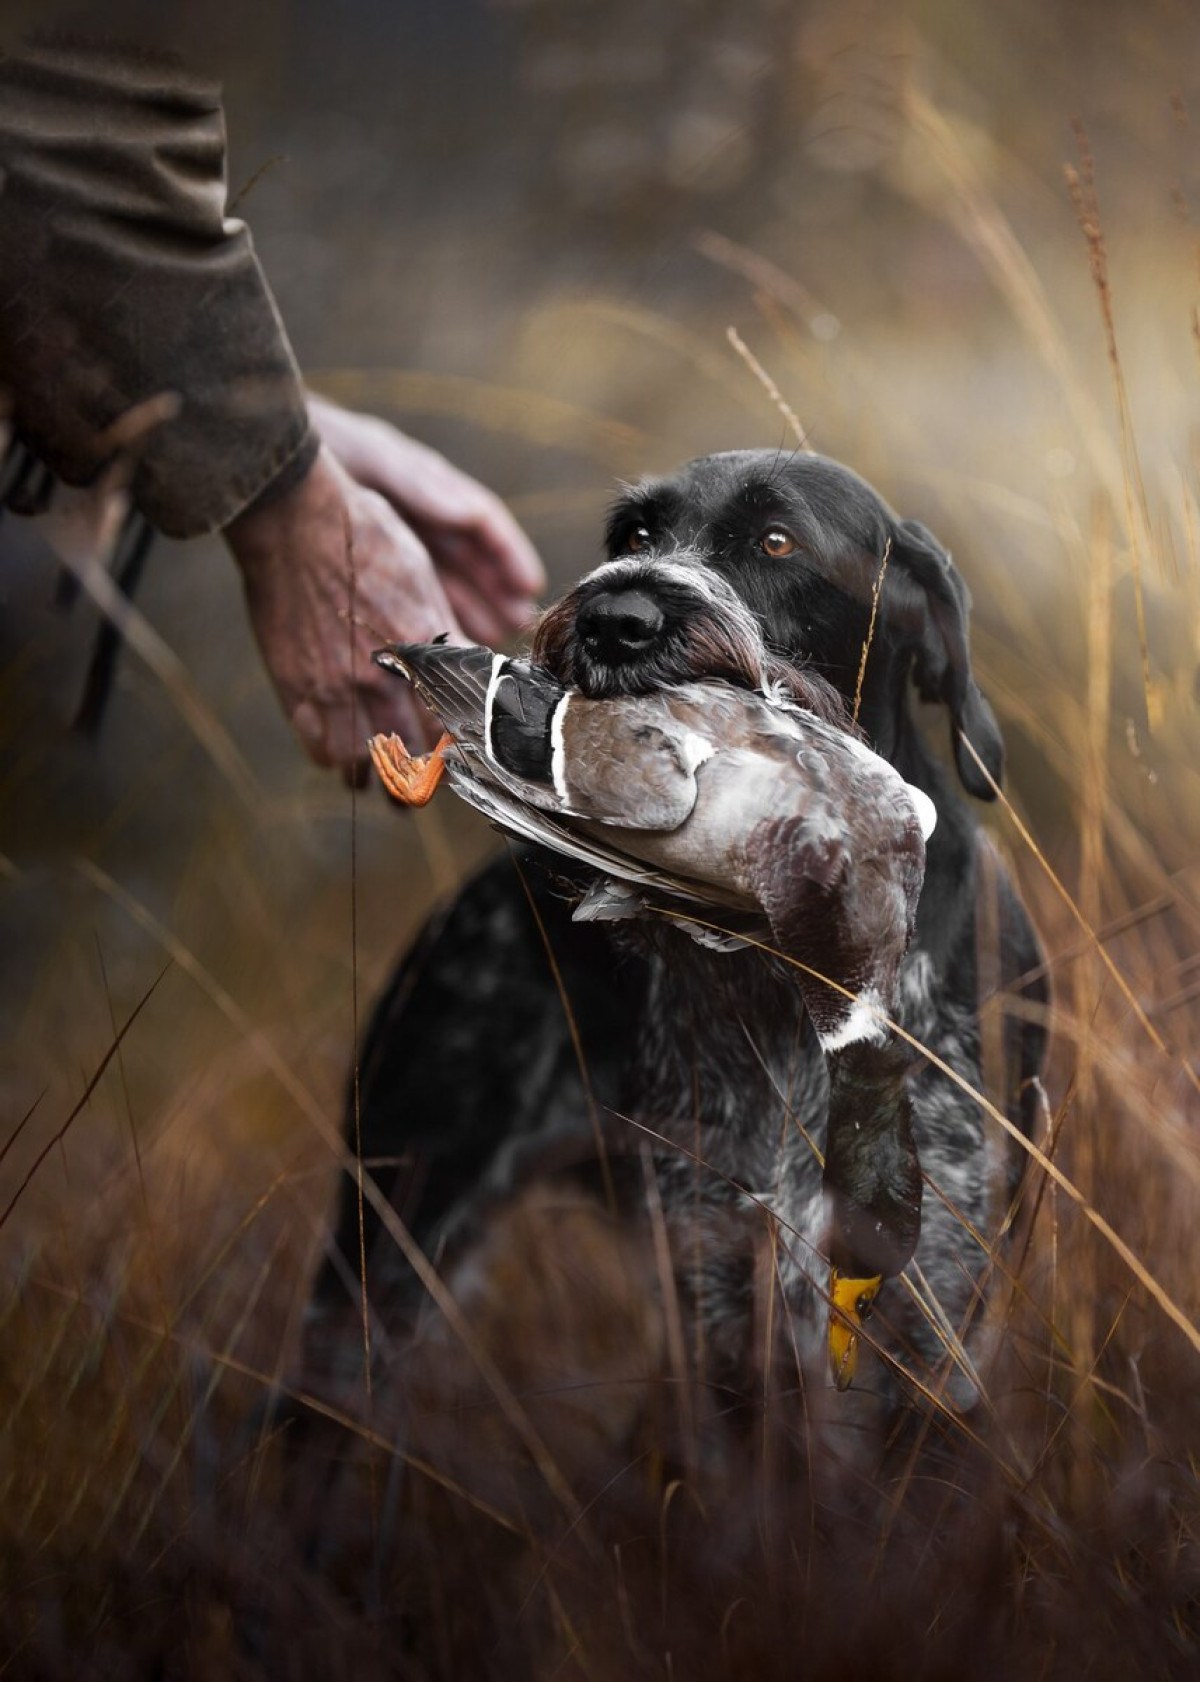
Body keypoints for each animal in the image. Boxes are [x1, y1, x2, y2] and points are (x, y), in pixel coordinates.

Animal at [301, 450, 1050, 1433]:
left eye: (777, 541)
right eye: (635, 535)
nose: (614, 619)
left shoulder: (936, 1318)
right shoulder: (718, 1289)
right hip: (388, 1239)